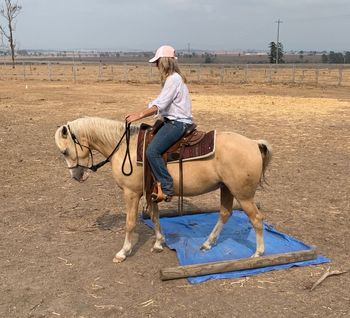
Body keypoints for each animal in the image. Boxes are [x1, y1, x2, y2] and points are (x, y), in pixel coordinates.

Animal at [55, 117, 274, 264]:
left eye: (65, 151)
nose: (77, 176)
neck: (124, 148)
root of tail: (254, 143)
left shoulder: (131, 193)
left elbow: (130, 223)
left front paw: (123, 252)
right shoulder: (150, 192)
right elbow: (154, 216)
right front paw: (159, 243)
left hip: (243, 195)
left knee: (256, 219)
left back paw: (258, 253)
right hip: (227, 189)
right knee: (225, 214)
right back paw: (207, 243)